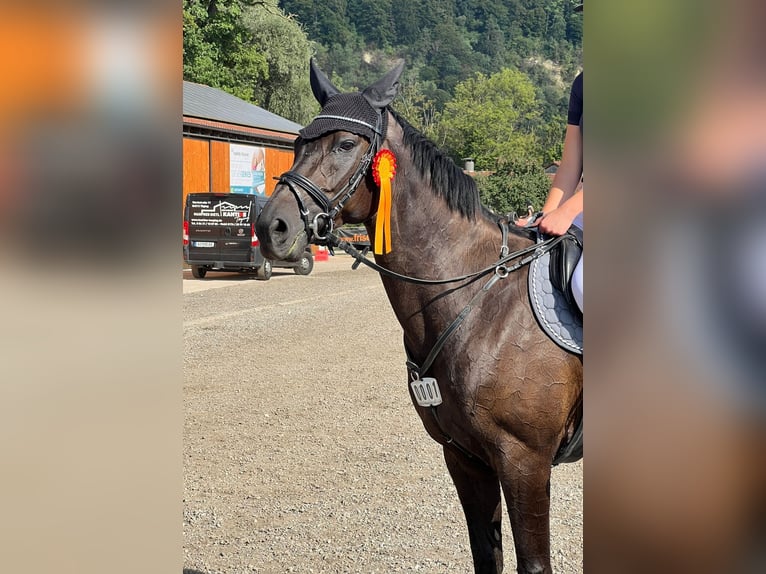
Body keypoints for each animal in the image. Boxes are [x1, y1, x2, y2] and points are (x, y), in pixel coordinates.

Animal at [255, 60, 584, 572]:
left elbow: (533, 563)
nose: (272, 227)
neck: (478, 300)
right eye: (297, 143)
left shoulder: (525, 461)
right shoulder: (465, 458)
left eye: (345, 144)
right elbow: (485, 555)